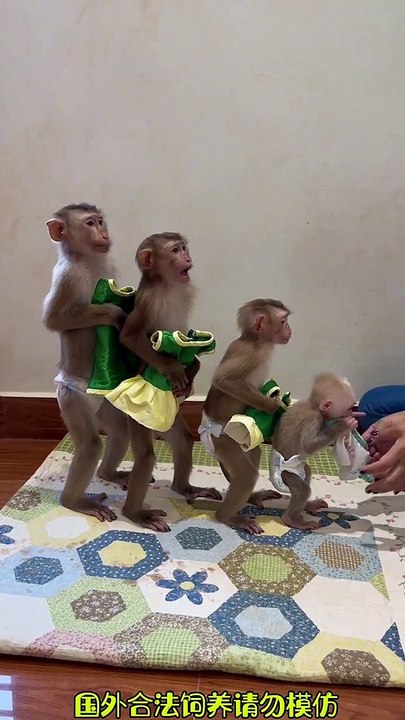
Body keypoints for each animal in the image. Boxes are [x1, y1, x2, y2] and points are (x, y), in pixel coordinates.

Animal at [42, 203, 131, 522]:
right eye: (90, 223)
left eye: (100, 221)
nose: (103, 232)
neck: (88, 261)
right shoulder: (68, 278)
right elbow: (55, 320)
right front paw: (112, 312)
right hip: (72, 397)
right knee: (91, 445)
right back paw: (75, 501)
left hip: (104, 401)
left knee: (119, 431)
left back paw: (108, 473)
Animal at [117, 232, 221, 532]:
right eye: (175, 250)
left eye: (184, 248)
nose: (187, 257)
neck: (167, 285)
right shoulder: (148, 300)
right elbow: (129, 337)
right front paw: (173, 368)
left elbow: (188, 338)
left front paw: (193, 367)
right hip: (138, 418)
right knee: (146, 457)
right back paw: (134, 513)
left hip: (170, 416)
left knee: (184, 440)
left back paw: (185, 488)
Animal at [199, 299, 292, 534]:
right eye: (283, 321)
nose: (290, 330)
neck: (259, 343)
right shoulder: (249, 354)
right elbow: (224, 380)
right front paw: (272, 405)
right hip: (222, 441)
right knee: (246, 475)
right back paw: (227, 516)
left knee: (254, 453)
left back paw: (251, 497)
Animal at [270, 372, 361, 530]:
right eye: (350, 408)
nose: (354, 412)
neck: (314, 405)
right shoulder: (314, 418)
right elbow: (308, 445)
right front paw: (342, 425)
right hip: (286, 474)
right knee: (302, 490)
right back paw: (292, 519)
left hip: (299, 469)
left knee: (306, 473)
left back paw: (308, 506)